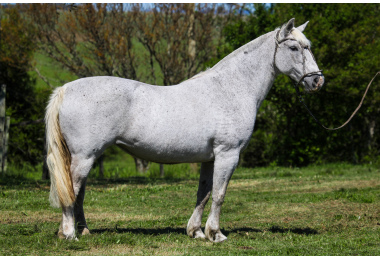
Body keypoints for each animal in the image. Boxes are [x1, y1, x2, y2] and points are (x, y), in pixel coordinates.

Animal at [44, 17, 324, 242]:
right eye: (294, 47)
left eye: (308, 46)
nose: (317, 81)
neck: (230, 88)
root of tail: (66, 89)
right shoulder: (228, 154)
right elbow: (219, 194)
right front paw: (216, 234)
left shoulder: (209, 159)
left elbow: (204, 193)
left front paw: (196, 232)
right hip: (84, 157)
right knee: (72, 190)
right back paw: (69, 234)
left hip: (87, 157)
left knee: (79, 193)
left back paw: (83, 230)